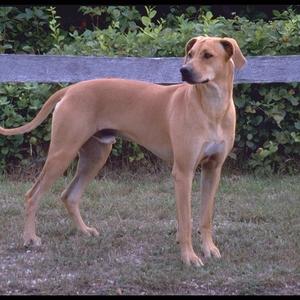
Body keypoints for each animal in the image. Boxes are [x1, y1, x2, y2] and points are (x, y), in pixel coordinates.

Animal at [0, 36, 246, 266]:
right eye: (191, 53)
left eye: (208, 55)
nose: (184, 70)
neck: (212, 108)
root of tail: (71, 89)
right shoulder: (183, 173)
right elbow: (186, 221)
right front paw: (189, 256)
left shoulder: (213, 169)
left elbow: (206, 217)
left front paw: (209, 249)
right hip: (62, 153)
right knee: (32, 196)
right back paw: (30, 238)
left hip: (95, 156)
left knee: (69, 195)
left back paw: (84, 230)